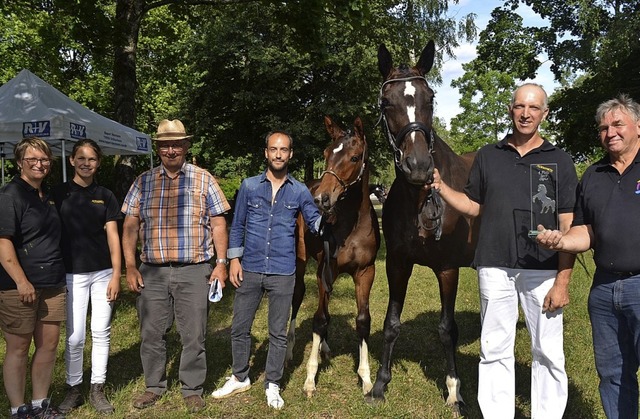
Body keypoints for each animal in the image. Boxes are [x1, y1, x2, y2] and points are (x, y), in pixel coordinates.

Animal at [288, 116, 382, 398]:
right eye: (326, 153)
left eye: (354, 157)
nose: (322, 198)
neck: (350, 225)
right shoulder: (324, 269)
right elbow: (319, 319)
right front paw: (310, 379)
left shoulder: (366, 272)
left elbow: (363, 320)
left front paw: (366, 378)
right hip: (301, 261)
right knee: (298, 296)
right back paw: (290, 349)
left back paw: (325, 348)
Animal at [368, 41, 478, 416]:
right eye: (387, 102)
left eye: (430, 98)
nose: (418, 167)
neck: (420, 201)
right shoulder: (397, 263)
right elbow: (391, 324)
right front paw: (379, 385)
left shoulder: (447, 269)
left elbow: (447, 329)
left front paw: (454, 392)